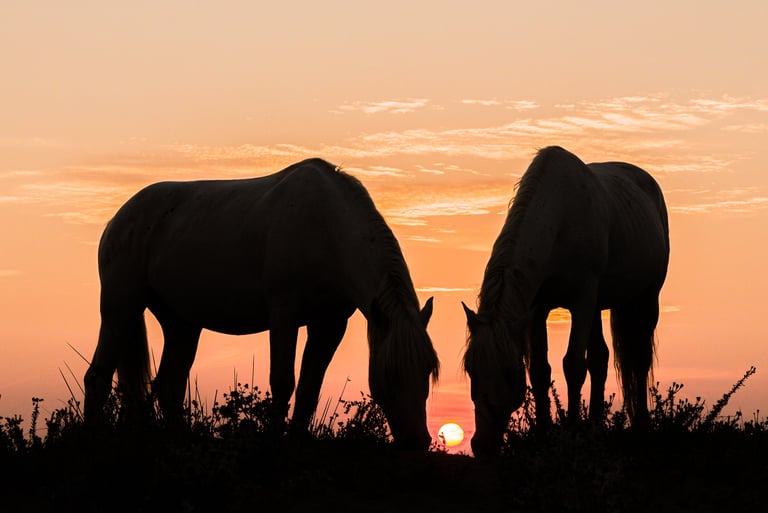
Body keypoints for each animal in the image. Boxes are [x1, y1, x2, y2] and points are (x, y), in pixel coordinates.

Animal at [83, 158, 440, 450]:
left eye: (427, 370)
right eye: (390, 374)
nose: (417, 442)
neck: (325, 229)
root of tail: (118, 220)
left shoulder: (329, 325)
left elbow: (309, 389)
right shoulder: (284, 314)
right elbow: (282, 382)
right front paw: (273, 445)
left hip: (181, 324)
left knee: (168, 384)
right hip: (120, 309)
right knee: (97, 378)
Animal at [462, 146, 669, 457]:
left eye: (509, 373)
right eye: (470, 369)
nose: (482, 446)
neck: (560, 221)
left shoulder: (582, 301)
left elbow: (573, 366)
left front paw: (571, 432)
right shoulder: (537, 310)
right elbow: (540, 370)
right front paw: (543, 433)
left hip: (645, 299)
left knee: (640, 359)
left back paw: (641, 426)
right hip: (598, 308)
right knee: (600, 358)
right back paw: (595, 425)